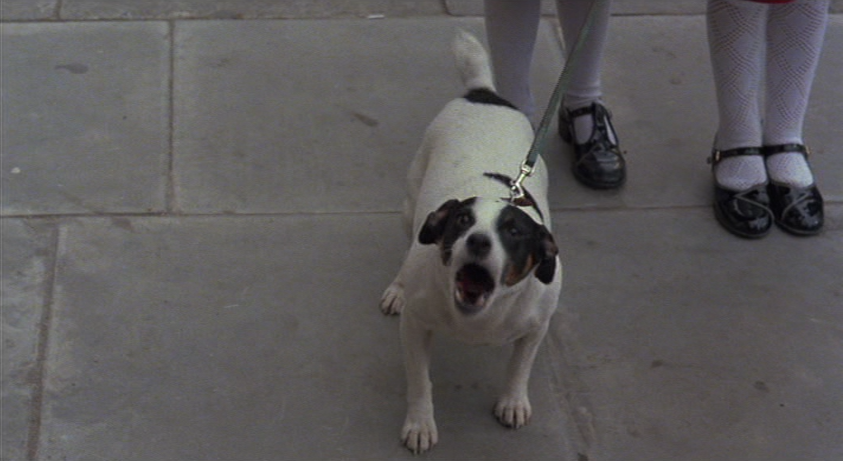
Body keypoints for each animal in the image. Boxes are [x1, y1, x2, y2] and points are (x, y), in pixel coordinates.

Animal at [379, 31, 563, 454]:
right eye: (462, 221)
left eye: (514, 232)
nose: (478, 241)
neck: (479, 317)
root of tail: (484, 92)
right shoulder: (415, 326)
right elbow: (420, 382)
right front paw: (420, 423)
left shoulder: (536, 327)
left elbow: (520, 367)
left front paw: (512, 400)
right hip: (410, 210)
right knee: (406, 249)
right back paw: (396, 287)